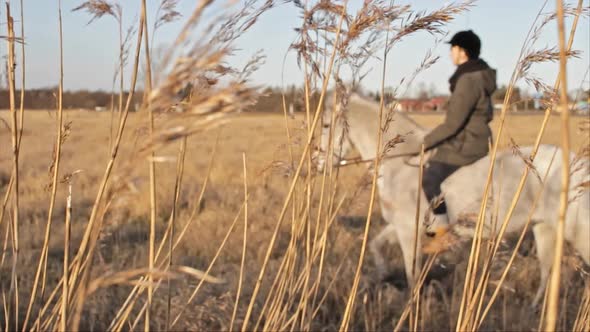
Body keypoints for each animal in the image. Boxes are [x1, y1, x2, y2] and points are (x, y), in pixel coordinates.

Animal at [316, 91, 590, 304]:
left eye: (326, 126)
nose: (318, 164)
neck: (400, 163)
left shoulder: (408, 231)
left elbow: (412, 273)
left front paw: (411, 306)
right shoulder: (400, 227)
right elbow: (376, 245)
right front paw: (382, 275)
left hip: (576, 232)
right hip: (544, 228)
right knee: (548, 272)